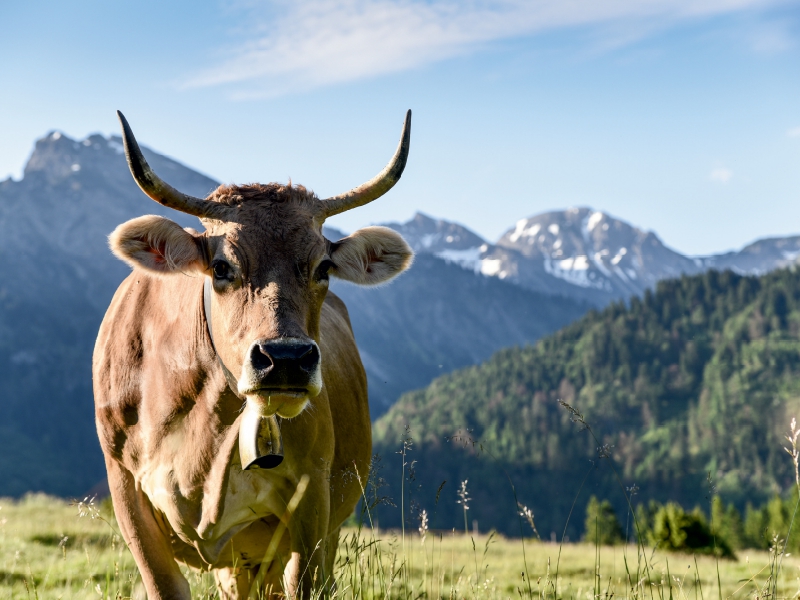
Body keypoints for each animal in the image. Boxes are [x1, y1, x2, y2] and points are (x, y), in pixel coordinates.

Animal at [95, 110, 412, 596]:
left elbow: (304, 583)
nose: (286, 359)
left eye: (323, 267)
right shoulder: (125, 486)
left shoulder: (312, 498)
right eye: (222, 267)